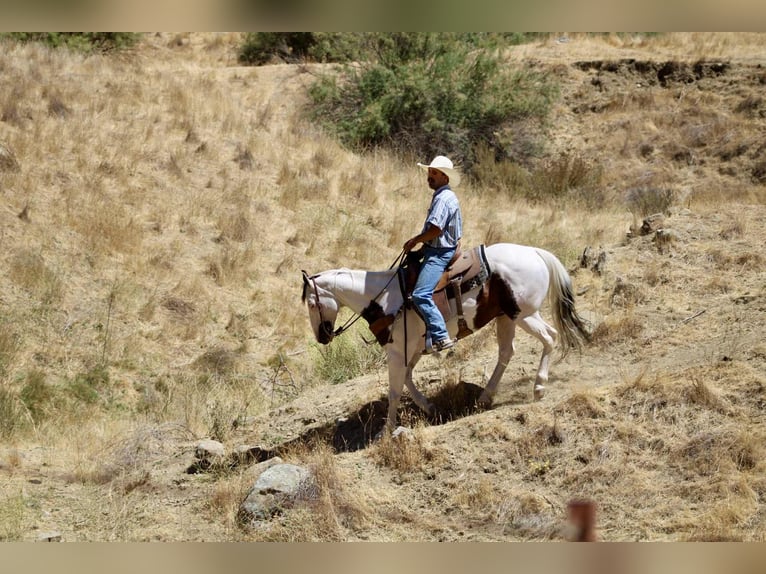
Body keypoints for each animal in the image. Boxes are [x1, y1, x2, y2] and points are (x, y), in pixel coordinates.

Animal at [301, 243, 590, 434]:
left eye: (312, 304)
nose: (322, 336)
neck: (384, 299)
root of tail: (535, 252)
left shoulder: (397, 352)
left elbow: (394, 390)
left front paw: (386, 431)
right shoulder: (413, 349)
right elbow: (407, 379)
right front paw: (429, 407)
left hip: (525, 314)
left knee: (549, 338)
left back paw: (538, 387)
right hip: (507, 317)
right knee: (507, 352)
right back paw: (485, 397)